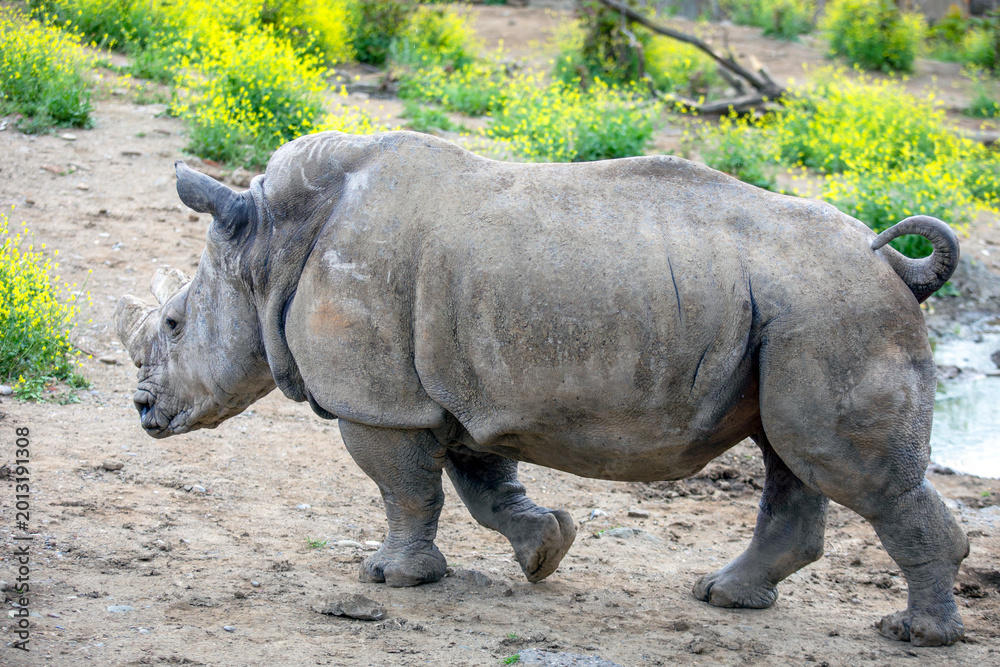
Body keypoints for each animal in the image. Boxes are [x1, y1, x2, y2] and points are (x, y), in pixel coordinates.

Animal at [116, 131, 968, 646]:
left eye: (175, 323)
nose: (144, 410)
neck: (267, 245)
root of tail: (897, 267)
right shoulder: (451, 390)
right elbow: (482, 484)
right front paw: (545, 551)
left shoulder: (384, 400)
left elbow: (403, 487)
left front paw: (390, 579)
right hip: (800, 313)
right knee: (792, 456)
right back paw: (722, 596)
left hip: (833, 308)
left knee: (842, 467)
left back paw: (914, 635)